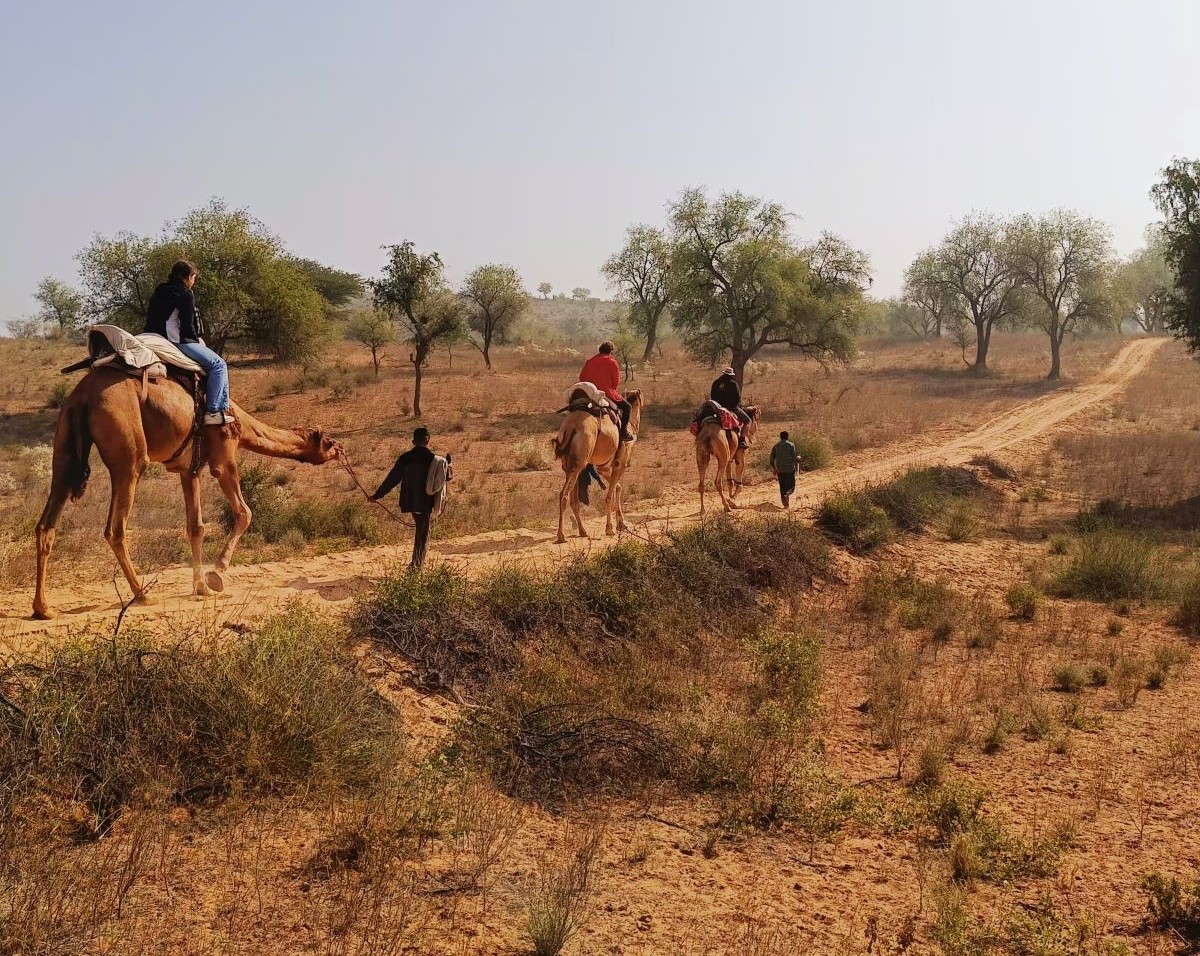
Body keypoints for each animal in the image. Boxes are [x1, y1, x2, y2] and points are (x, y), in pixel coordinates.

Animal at [32, 364, 340, 618]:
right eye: (329, 442)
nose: (340, 450)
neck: (241, 422)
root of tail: (83, 396)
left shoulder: (188, 469)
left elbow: (196, 527)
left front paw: (200, 586)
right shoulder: (223, 457)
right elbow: (244, 513)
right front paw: (217, 575)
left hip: (64, 448)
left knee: (46, 524)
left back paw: (43, 608)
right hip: (129, 457)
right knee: (115, 528)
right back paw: (143, 594)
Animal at [552, 386, 648, 537]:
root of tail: (571, 427)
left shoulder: (602, 467)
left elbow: (618, 487)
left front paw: (621, 523)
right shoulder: (620, 463)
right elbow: (609, 496)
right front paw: (610, 528)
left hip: (570, 464)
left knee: (573, 499)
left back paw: (582, 530)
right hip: (579, 461)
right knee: (564, 495)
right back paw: (561, 535)